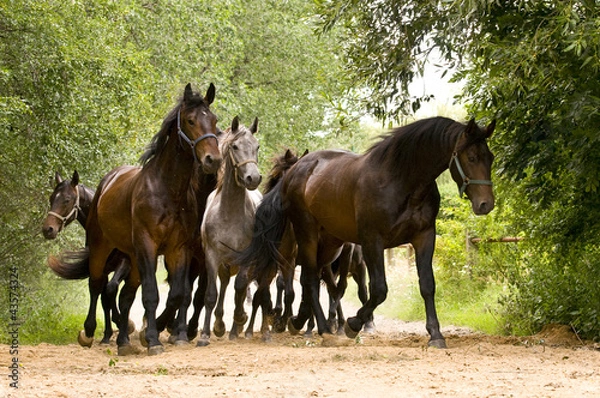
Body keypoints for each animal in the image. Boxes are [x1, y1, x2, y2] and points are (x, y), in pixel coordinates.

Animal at [42, 169, 134, 344]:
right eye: (51, 198)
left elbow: (112, 289)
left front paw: (124, 325)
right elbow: (103, 296)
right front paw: (105, 334)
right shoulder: (100, 266)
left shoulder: (125, 263)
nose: (47, 229)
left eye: (67, 200)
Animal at [198, 115, 262, 346]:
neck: (229, 214)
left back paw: (237, 323)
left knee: (240, 288)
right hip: (224, 262)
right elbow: (211, 294)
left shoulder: (246, 257)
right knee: (224, 284)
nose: (254, 178)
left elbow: (240, 289)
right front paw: (205, 334)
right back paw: (218, 325)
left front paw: (237, 323)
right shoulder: (211, 255)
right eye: (235, 146)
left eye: (257, 147)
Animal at [237, 116, 494, 346]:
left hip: (329, 245)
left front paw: (436, 335)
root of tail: (295, 172)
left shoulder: (424, 237)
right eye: (471, 157)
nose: (486, 204)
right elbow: (379, 289)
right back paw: (323, 330)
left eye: (490, 158)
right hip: (306, 235)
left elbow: (427, 285)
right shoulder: (373, 241)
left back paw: (301, 321)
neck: (401, 182)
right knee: (308, 280)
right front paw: (353, 324)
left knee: (316, 283)